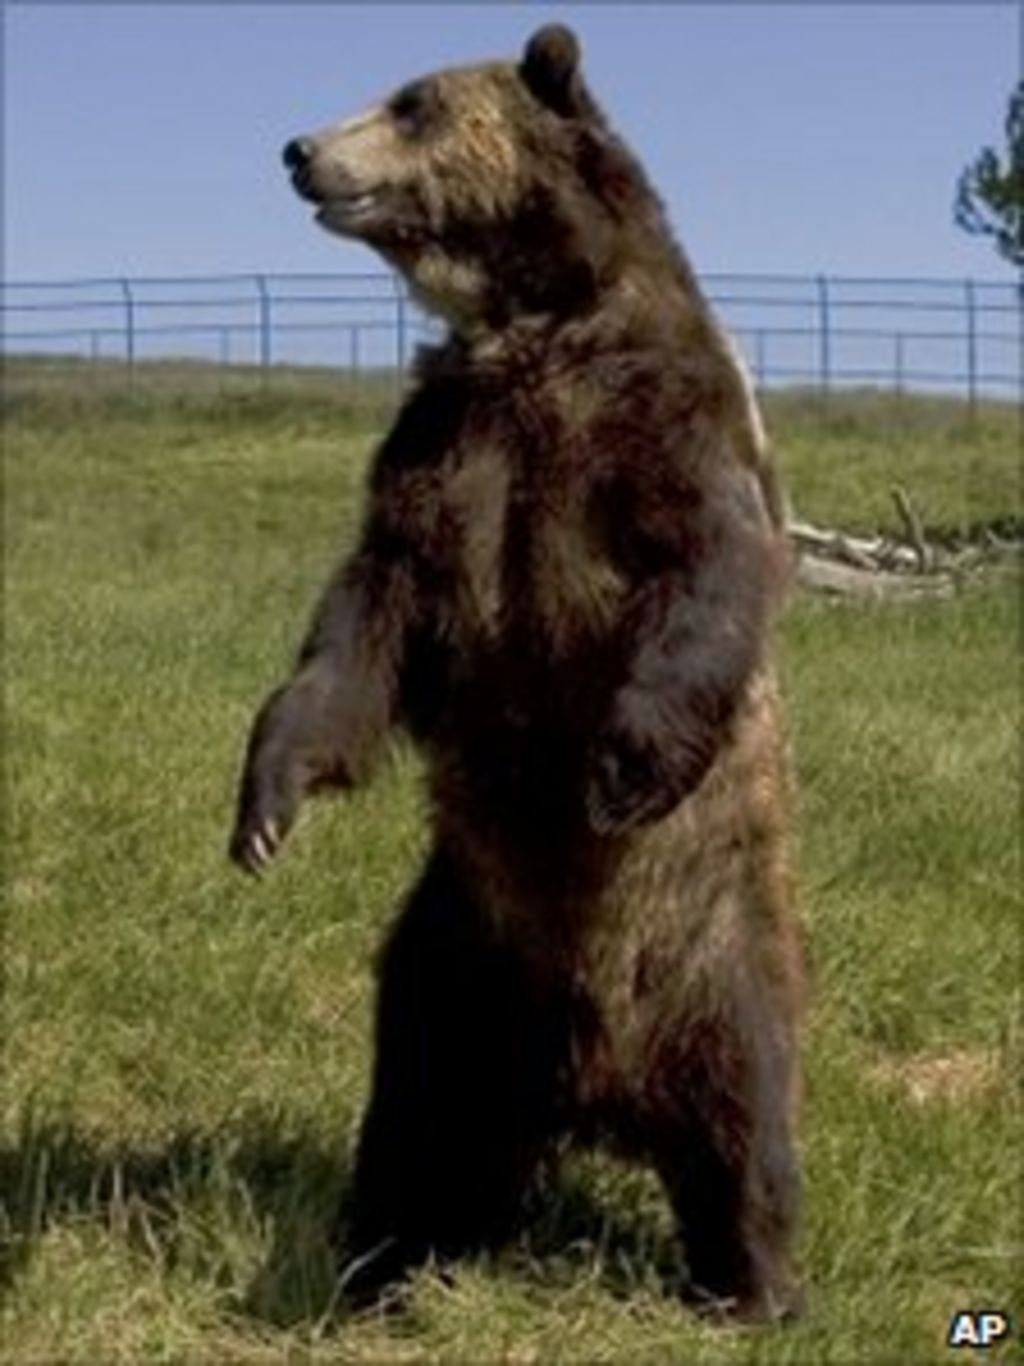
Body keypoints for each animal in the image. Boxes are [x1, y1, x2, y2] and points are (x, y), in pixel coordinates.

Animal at [229, 25, 804, 1322]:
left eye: (410, 103)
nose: (299, 148)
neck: (528, 319)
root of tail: (591, 1090)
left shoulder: (656, 417)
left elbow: (706, 571)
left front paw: (621, 766)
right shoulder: (446, 446)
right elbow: (364, 623)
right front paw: (266, 806)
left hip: (710, 946)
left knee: (742, 1114)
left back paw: (754, 1286)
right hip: (458, 956)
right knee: (418, 1111)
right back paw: (375, 1259)